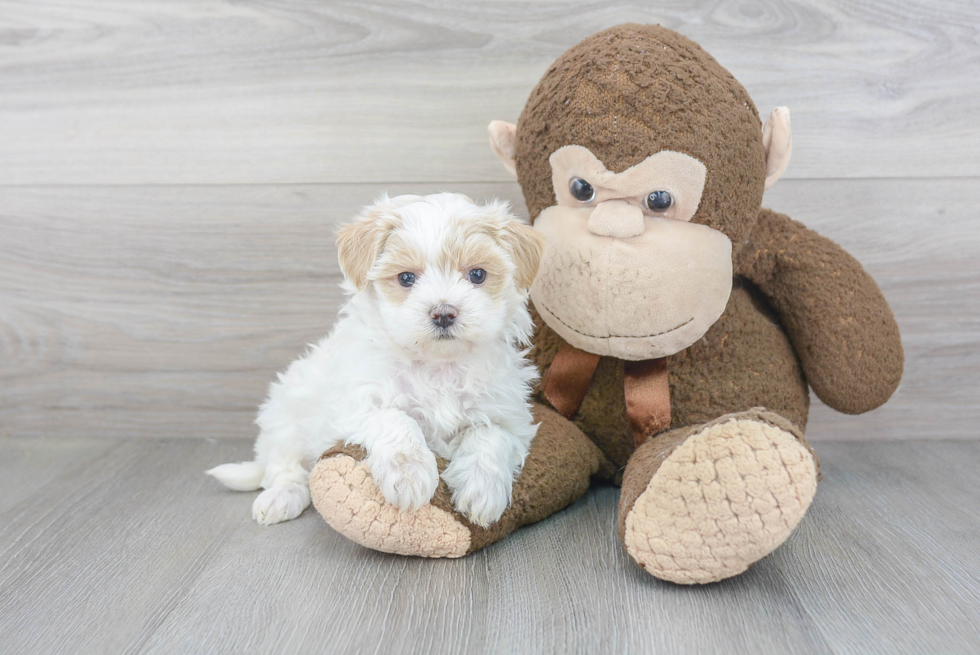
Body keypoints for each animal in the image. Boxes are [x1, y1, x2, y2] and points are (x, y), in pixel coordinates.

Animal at [209, 193, 544, 528]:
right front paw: (409, 474)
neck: (436, 365)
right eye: (406, 278)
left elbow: (490, 435)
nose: (443, 313)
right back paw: (281, 497)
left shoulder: (508, 414)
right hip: (286, 415)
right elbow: (393, 418)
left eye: (477, 274)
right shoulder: (354, 404)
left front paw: (481, 488)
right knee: (284, 468)